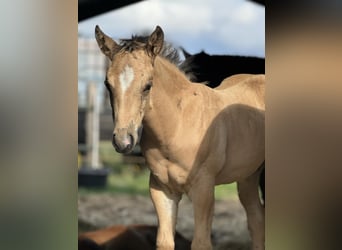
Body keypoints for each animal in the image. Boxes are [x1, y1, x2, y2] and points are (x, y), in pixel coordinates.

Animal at [95, 25, 266, 250]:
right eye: (108, 84)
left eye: (148, 85)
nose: (123, 142)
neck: (178, 125)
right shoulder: (162, 190)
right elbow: (165, 241)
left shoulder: (203, 189)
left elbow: (201, 243)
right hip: (248, 176)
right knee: (256, 220)